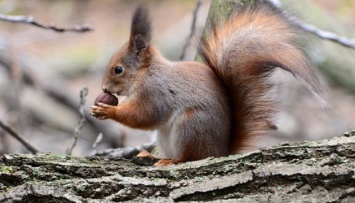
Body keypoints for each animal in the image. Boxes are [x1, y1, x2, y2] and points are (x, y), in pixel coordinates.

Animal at [91, 0, 322, 167]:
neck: (146, 74)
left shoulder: (156, 93)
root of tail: (220, 151)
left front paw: (107, 110)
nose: (104, 89)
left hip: (190, 126)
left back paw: (169, 161)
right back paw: (150, 155)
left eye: (118, 69)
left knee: (190, 157)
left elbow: (145, 116)